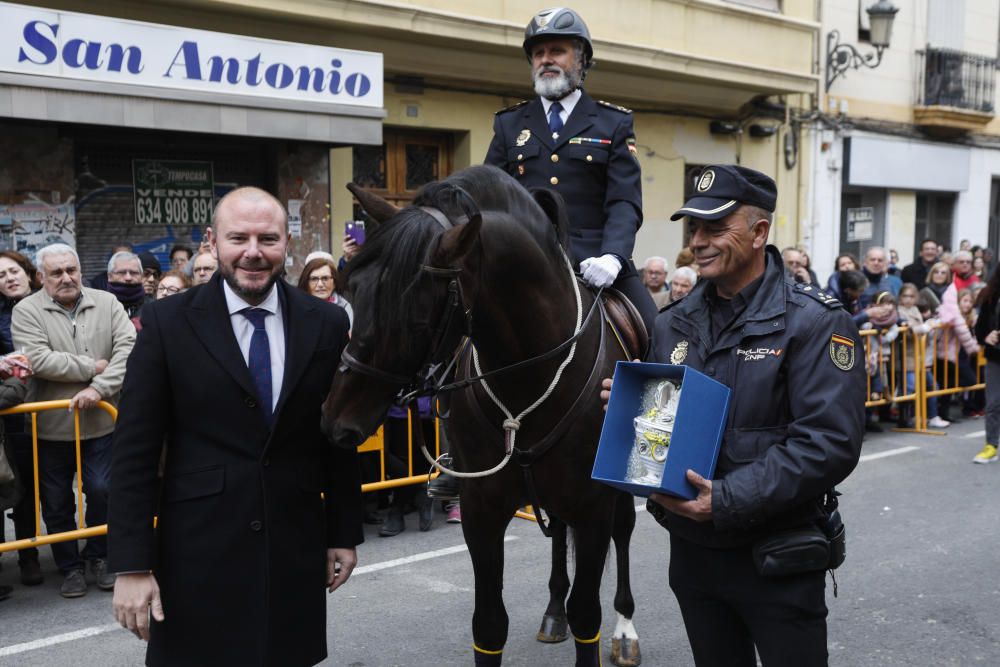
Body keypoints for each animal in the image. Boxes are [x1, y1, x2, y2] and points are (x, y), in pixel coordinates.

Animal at [324, 164, 644, 664]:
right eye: (353, 291)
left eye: (415, 313)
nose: (336, 420)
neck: (529, 373)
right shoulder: (482, 509)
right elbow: (490, 625)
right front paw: (551, 612)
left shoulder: (594, 505)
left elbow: (587, 614)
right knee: (558, 539)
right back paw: (553, 612)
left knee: (624, 532)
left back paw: (625, 628)